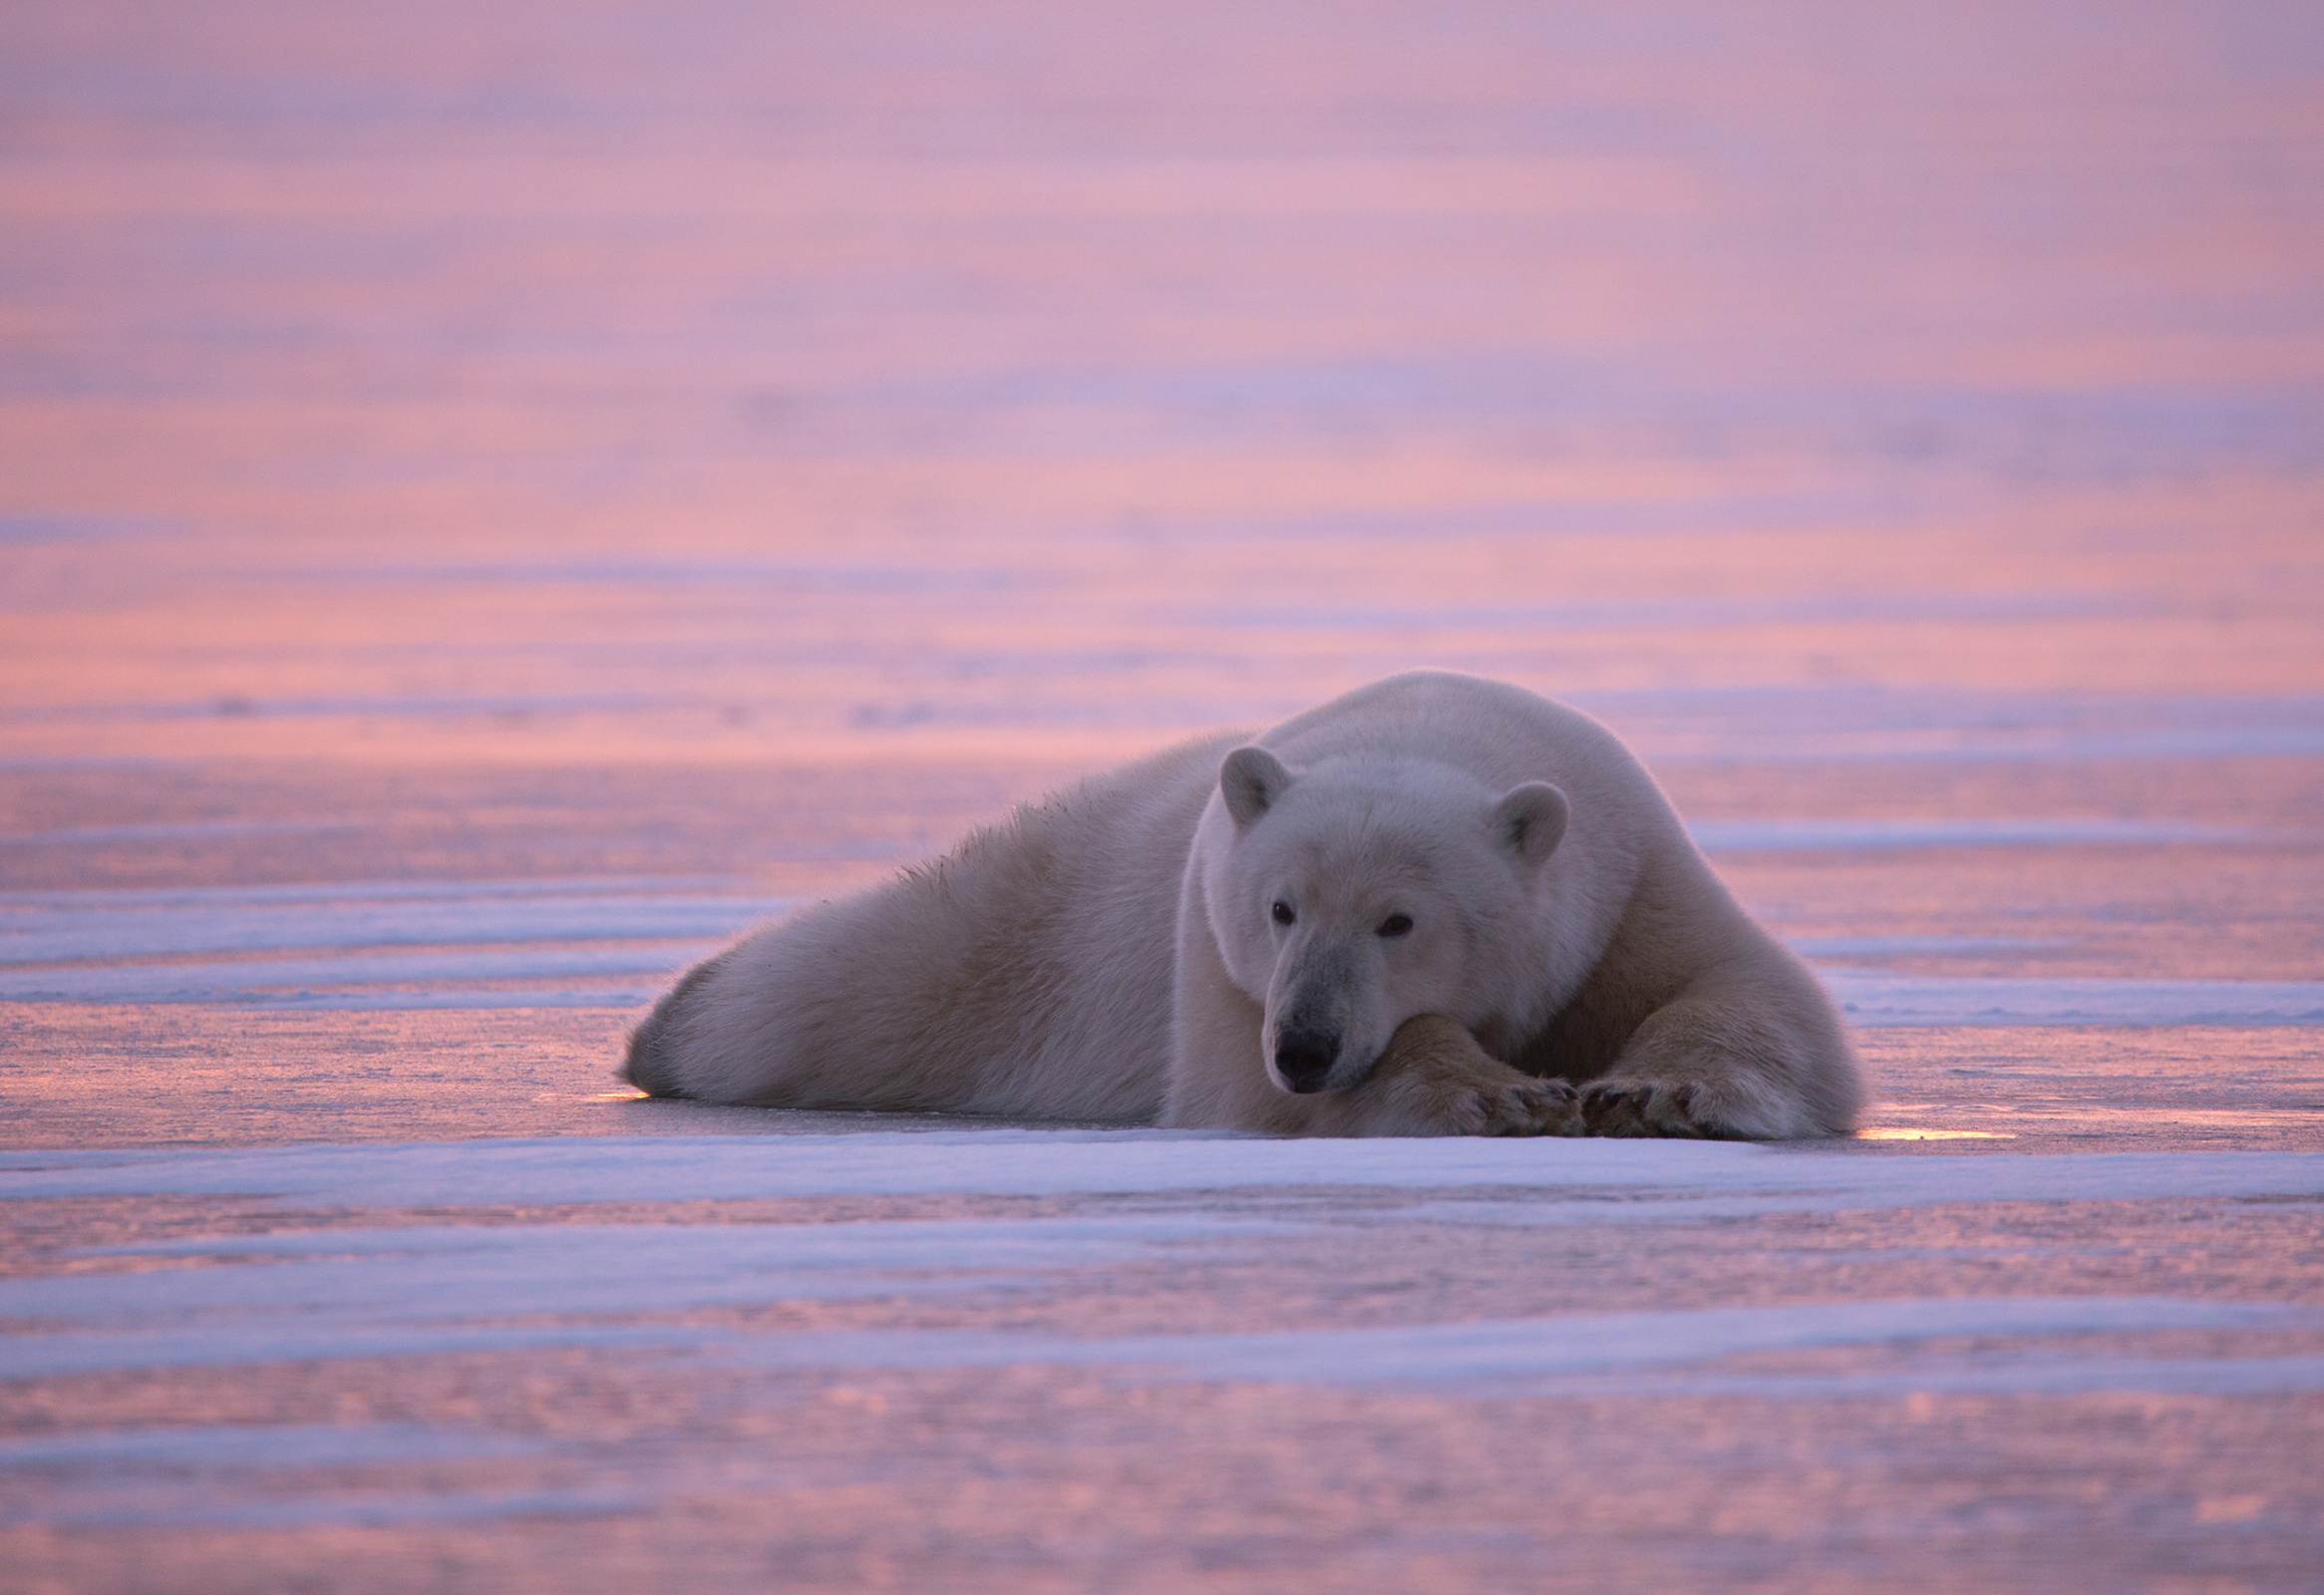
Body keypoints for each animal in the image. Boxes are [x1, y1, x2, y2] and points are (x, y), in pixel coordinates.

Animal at [627, 669, 1858, 1138]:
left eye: (1398, 919)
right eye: (1280, 908)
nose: (1306, 1044)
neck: (1437, 724)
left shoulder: (1631, 876)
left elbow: (1747, 995)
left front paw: (1657, 1091)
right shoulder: (1208, 956)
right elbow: (1246, 1093)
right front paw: (1500, 1094)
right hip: (1020, 925)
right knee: (837, 986)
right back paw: (670, 1030)